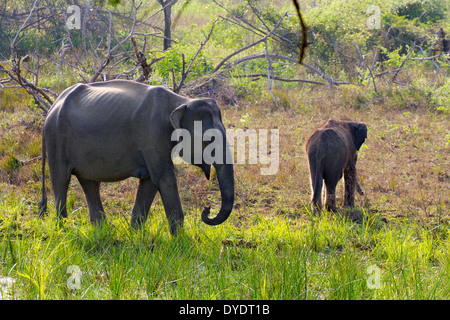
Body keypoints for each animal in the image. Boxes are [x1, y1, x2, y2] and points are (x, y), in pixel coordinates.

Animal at [37, 80, 236, 235]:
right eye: (209, 139)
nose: (207, 209)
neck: (180, 101)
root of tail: (53, 105)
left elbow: (150, 181)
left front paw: (135, 234)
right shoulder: (152, 135)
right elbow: (164, 178)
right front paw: (182, 242)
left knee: (89, 182)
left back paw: (101, 230)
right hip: (56, 138)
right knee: (61, 179)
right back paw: (63, 229)